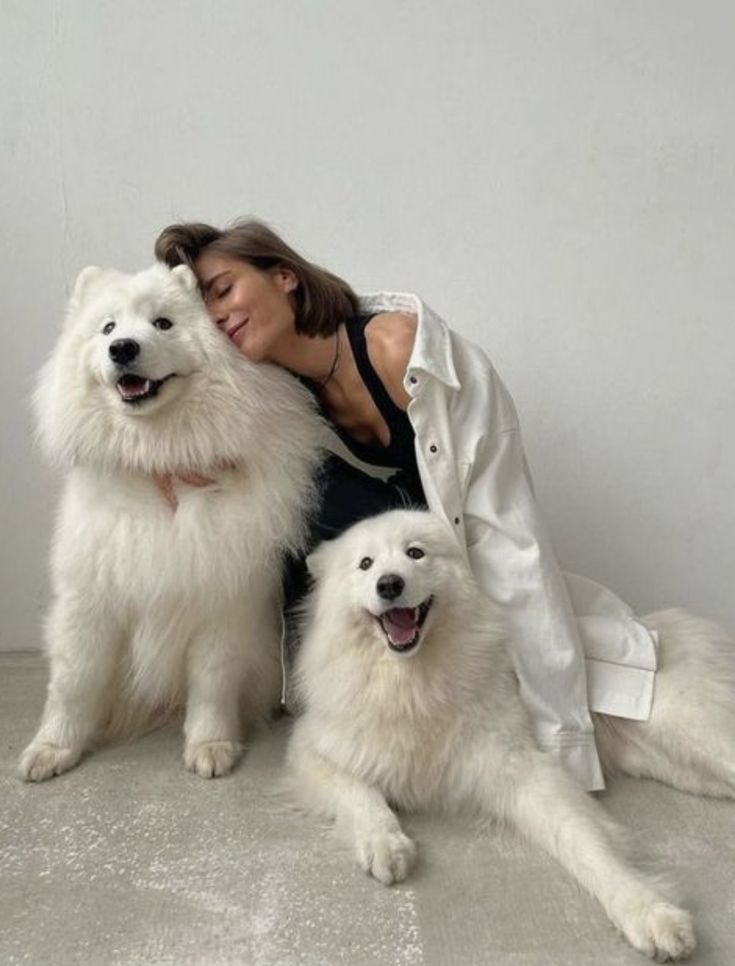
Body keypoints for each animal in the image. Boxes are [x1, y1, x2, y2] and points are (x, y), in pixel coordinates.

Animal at [19, 264, 322, 788]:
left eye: (163, 324)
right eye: (108, 328)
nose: (123, 349)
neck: (160, 460)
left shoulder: (222, 602)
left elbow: (213, 685)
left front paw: (211, 746)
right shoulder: (90, 599)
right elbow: (73, 682)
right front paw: (52, 749)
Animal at [286, 510, 735, 964]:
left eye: (415, 553)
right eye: (365, 564)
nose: (389, 584)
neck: (414, 682)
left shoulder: (522, 771)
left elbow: (588, 845)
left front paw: (648, 912)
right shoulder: (312, 748)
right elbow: (359, 794)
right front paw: (384, 842)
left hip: (691, 731)